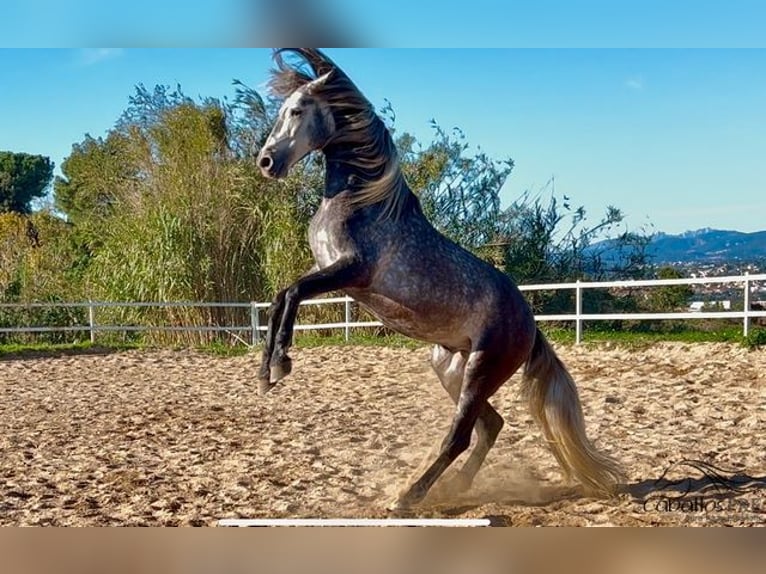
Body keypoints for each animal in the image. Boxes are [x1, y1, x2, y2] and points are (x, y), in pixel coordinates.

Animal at [255, 47, 628, 510]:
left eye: (297, 109)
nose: (266, 162)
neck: (361, 200)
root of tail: (530, 326)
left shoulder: (352, 271)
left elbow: (291, 293)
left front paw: (280, 364)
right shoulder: (329, 271)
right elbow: (280, 298)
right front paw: (265, 374)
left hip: (481, 370)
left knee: (461, 435)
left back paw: (408, 496)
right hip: (450, 367)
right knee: (490, 426)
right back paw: (457, 486)